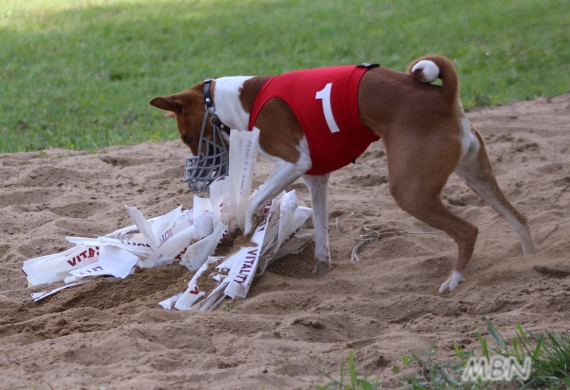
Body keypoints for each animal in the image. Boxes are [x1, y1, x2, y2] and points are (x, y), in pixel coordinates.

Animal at [149, 55, 536, 292]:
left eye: (187, 137)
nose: (200, 176)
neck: (240, 101)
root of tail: (443, 96)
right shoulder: (315, 177)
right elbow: (321, 233)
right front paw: (321, 271)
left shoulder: (294, 162)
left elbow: (253, 200)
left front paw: (245, 227)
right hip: (475, 174)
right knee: (518, 217)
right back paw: (532, 261)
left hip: (411, 192)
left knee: (468, 231)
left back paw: (454, 280)